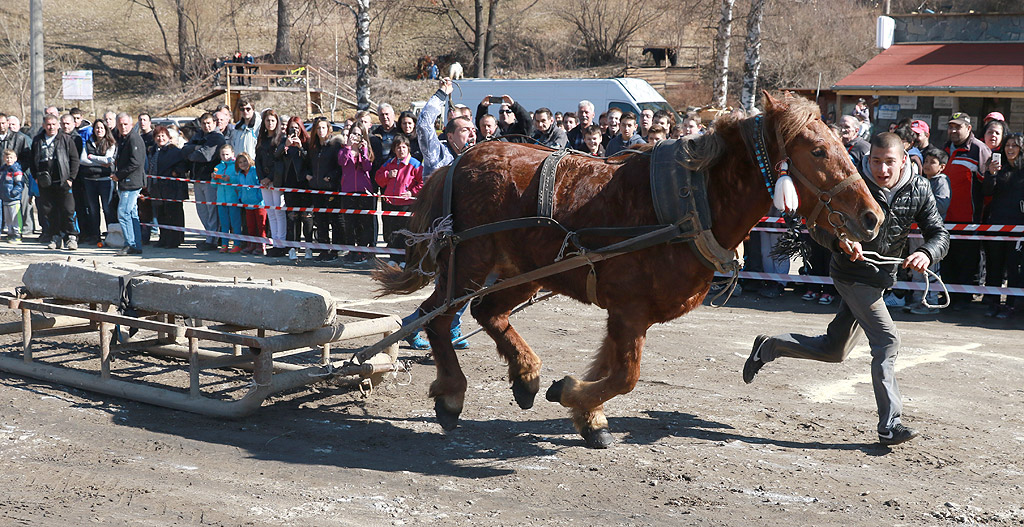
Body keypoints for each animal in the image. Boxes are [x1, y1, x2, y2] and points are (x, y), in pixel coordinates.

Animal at [374, 92, 880, 448]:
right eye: (818, 151)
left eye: (844, 143)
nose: (872, 217)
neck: (694, 202)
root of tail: (460, 160)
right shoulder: (630, 310)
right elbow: (625, 376)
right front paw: (571, 395)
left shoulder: (626, 313)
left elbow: (610, 367)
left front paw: (587, 415)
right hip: (467, 266)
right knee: (437, 319)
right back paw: (452, 393)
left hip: (526, 271)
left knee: (486, 313)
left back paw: (526, 375)